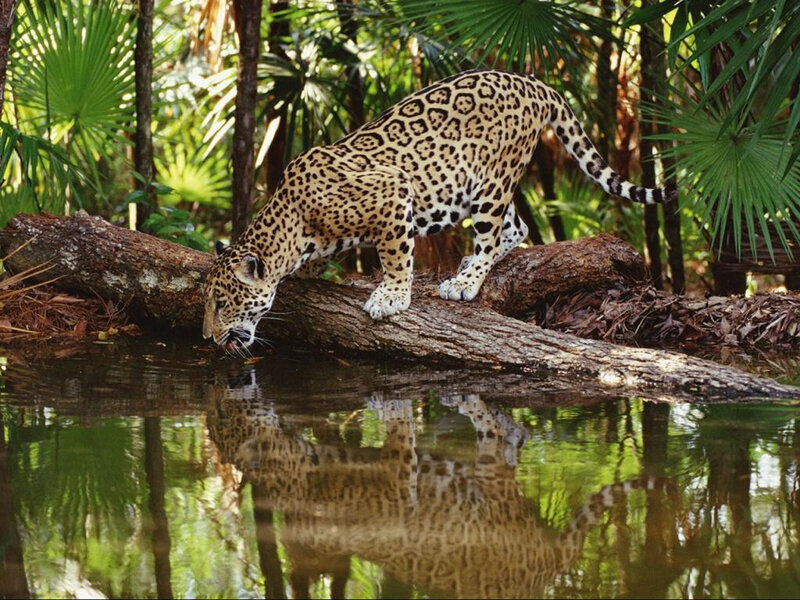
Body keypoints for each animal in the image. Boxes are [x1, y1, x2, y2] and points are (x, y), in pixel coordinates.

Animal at [203, 69, 673, 351]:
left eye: (223, 303)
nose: (208, 338)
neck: (293, 224)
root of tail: (531, 82)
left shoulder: (393, 191)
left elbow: (395, 255)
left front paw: (391, 296)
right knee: (517, 226)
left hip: (491, 182)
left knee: (492, 233)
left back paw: (465, 281)